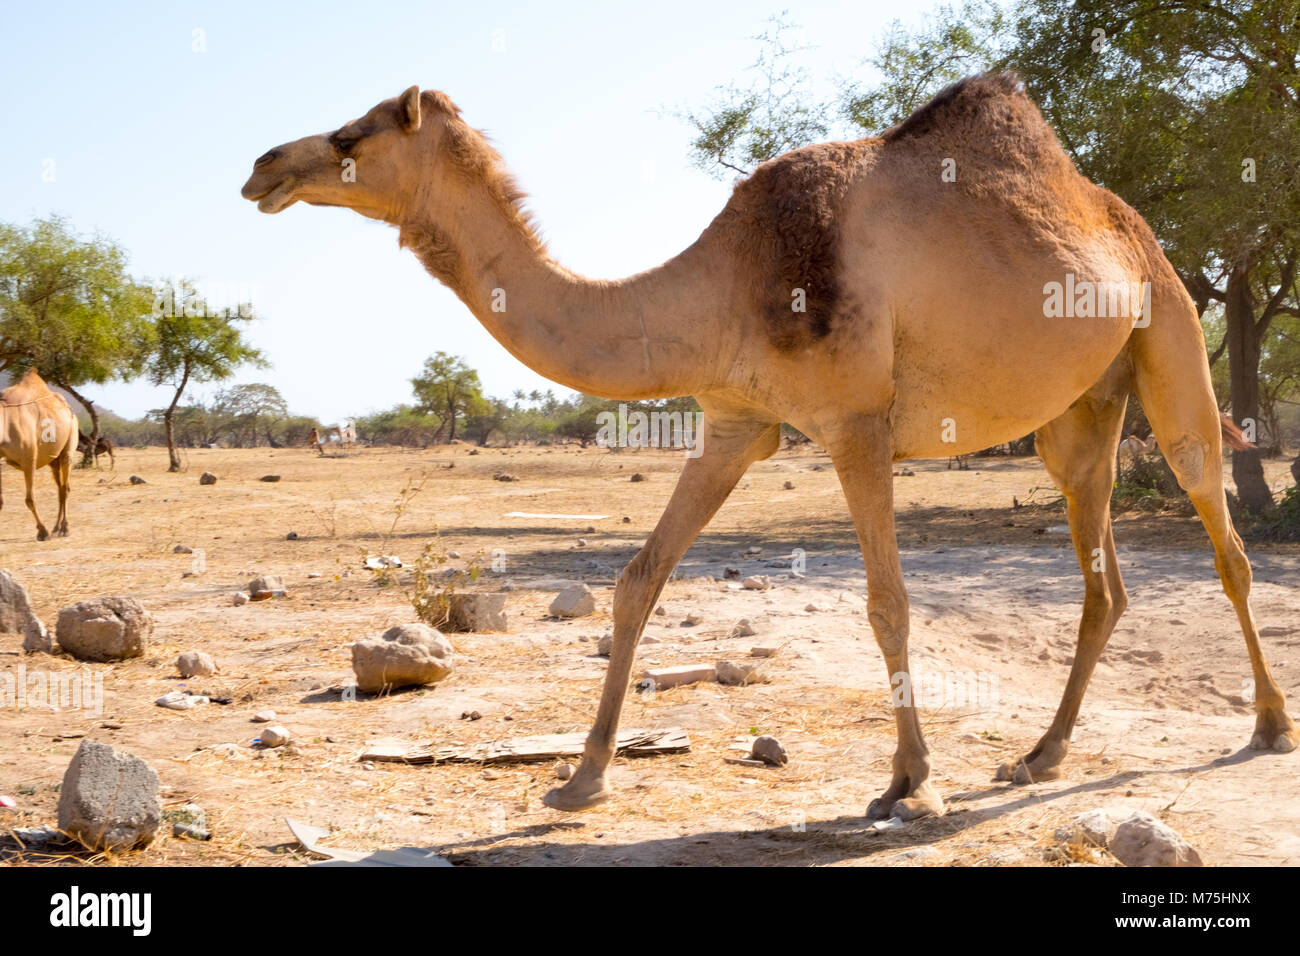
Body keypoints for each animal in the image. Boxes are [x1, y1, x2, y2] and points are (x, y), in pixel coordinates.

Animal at [0, 369, 76, 541]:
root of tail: (68, 409)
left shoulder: (29, 458)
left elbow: (30, 499)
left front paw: (42, 532)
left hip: (69, 446)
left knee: (65, 487)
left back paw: (65, 528)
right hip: (53, 460)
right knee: (60, 488)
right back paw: (56, 527)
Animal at [241, 74, 1289, 822]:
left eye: (352, 137)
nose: (262, 166)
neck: (723, 285)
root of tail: (1120, 219)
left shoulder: (857, 421)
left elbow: (888, 605)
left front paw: (911, 785)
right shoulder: (736, 423)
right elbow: (638, 578)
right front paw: (580, 781)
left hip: (1168, 332)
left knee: (1224, 533)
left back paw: (1271, 727)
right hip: (1080, 414)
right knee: (1103, 573)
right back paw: (1041, 753)